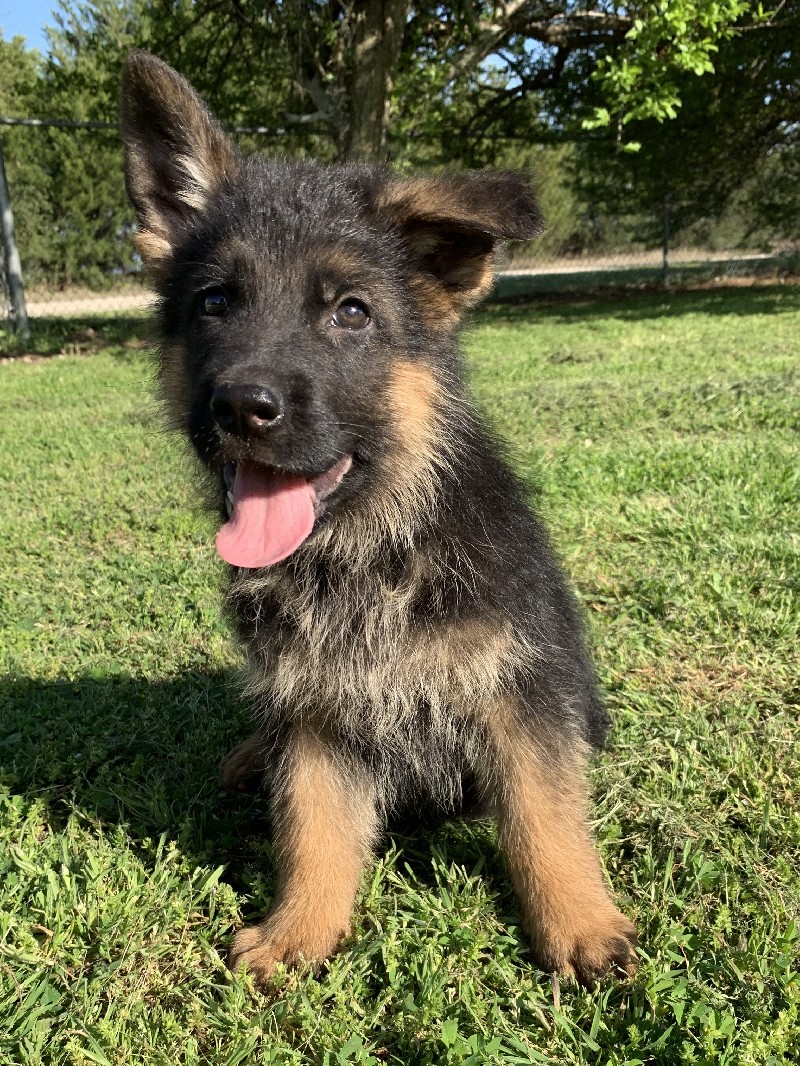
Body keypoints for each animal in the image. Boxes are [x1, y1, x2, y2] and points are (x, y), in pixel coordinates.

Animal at [122, 47, 640, 980]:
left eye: (350, 312)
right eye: (214, 303)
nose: (240, 406)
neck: (370, 546)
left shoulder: (521, 693)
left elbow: (546, 816)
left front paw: (580, 922)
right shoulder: (316, 715)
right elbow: (314, 828)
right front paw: (297, 931)